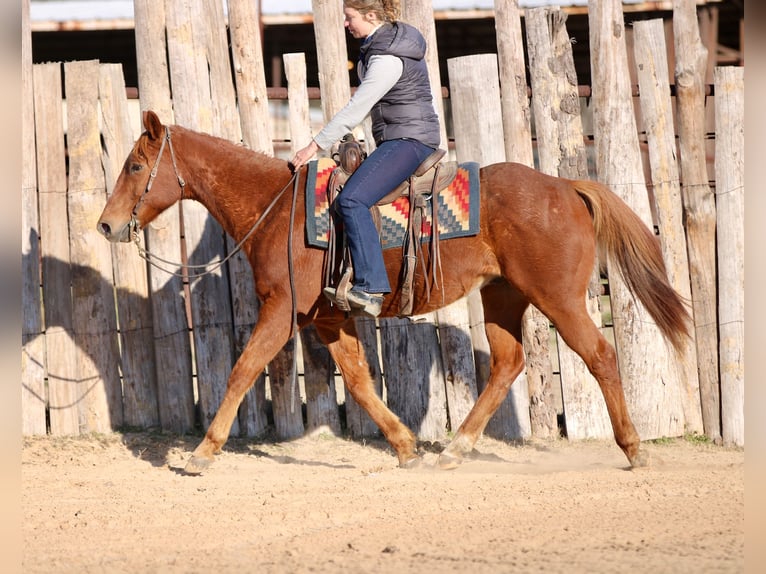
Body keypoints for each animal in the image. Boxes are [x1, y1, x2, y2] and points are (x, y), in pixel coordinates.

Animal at [97, 110, 690, 474]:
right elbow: (359, 382)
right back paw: (454, 449)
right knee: (507, 363)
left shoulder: (283, 310)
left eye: (135, 165)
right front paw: (405, 447)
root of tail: (566, 186)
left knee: (601, 355)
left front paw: (203, 451)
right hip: (502, 296)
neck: (276, 207)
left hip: (558, 299)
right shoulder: (328, 318)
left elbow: (243, 369)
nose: (106, 225)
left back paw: (634, 450)